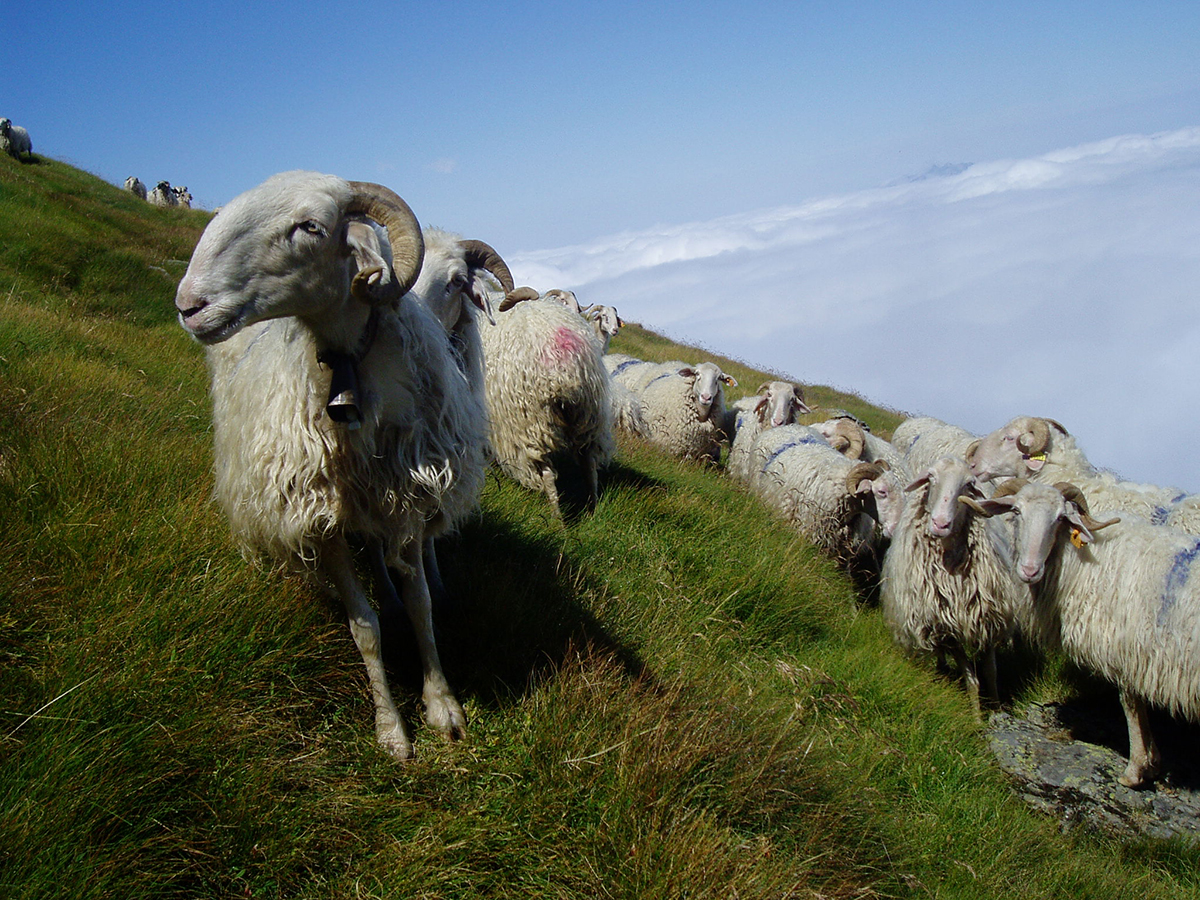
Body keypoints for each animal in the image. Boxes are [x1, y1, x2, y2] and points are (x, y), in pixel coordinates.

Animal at [174, 170, 487, 761]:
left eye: (311, 227)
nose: (189, 304)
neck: (350, 365)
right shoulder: (323, 520)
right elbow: (364, 627)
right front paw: (392, 729)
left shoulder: (407, 498)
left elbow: (421, 604)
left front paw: (443, 705)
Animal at [478, 287, 614, 517]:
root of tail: (565, 368)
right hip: (588, 414)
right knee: (589, 462)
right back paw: (592, 510)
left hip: (532, 422)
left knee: (548, 474)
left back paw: (557, 519)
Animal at [879, 457, 1021, 716]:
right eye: (931, 477)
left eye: (968, 484)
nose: (940, 523)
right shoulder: (946, 629)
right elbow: (971, 679)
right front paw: (976, 717)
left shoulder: (988, 619)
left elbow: (991, 673)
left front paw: (996, 709)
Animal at [963, 479, 1200, 787]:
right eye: (1016, 511)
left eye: (1060, 519)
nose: (1030, 570)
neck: (1078, 557)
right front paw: (1152, 763)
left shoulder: (1123, 646)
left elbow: (1131, 705)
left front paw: (1135, 769)